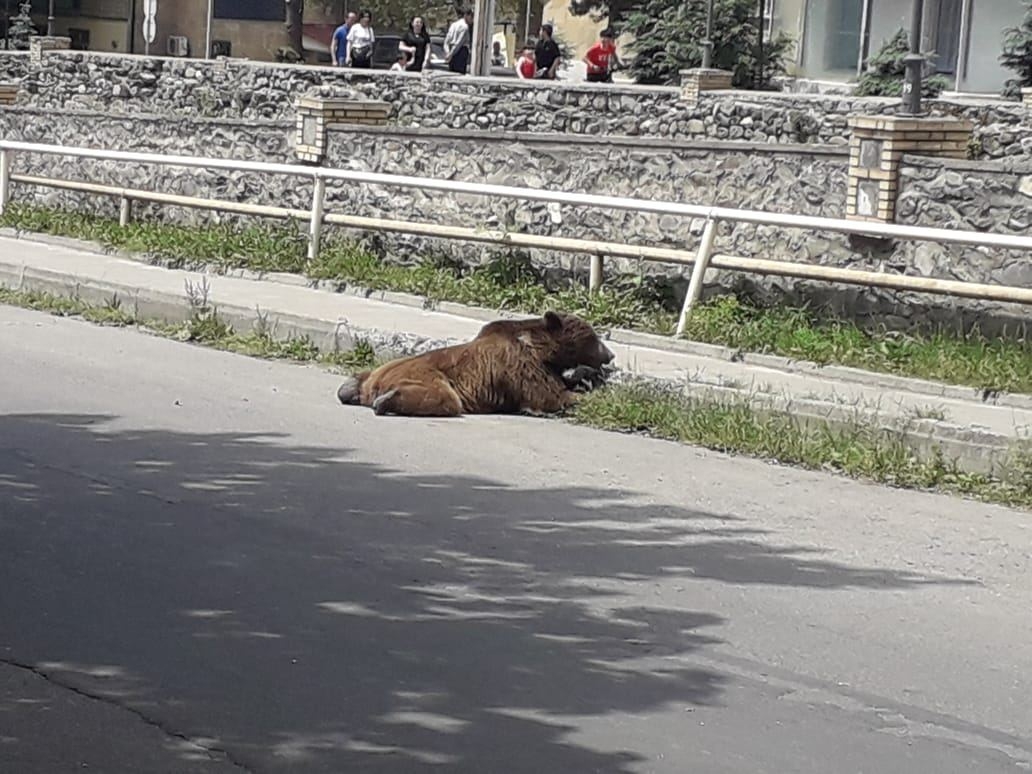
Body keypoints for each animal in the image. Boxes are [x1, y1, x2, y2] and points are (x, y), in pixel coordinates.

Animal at [336, 311, 610, 418]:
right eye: (595, 339)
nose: (610, 355)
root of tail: (375, 384)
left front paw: (586, 378)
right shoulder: (520, 365)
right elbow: (550, 396)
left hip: (380, 369)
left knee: (357, 378)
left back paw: (349, 387)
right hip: (425, 373)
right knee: (445, 397)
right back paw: (386, 401)